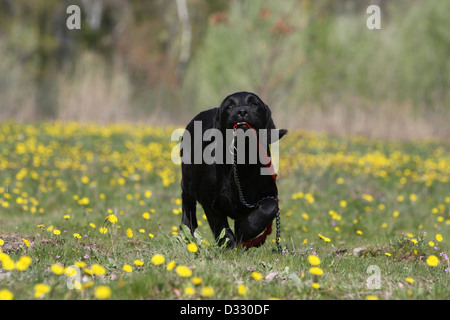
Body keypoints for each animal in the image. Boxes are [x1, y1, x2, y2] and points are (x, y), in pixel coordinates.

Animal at [178, 92, 284, 248]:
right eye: (230, 106)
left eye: (254, 104)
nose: (242, 111)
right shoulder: (210, 201)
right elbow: (221, 228)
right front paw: (230, 246)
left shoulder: (270, 193)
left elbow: (268, 209)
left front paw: (247, 231)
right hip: (188, 180)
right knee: (187, 202)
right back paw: (189, 229)